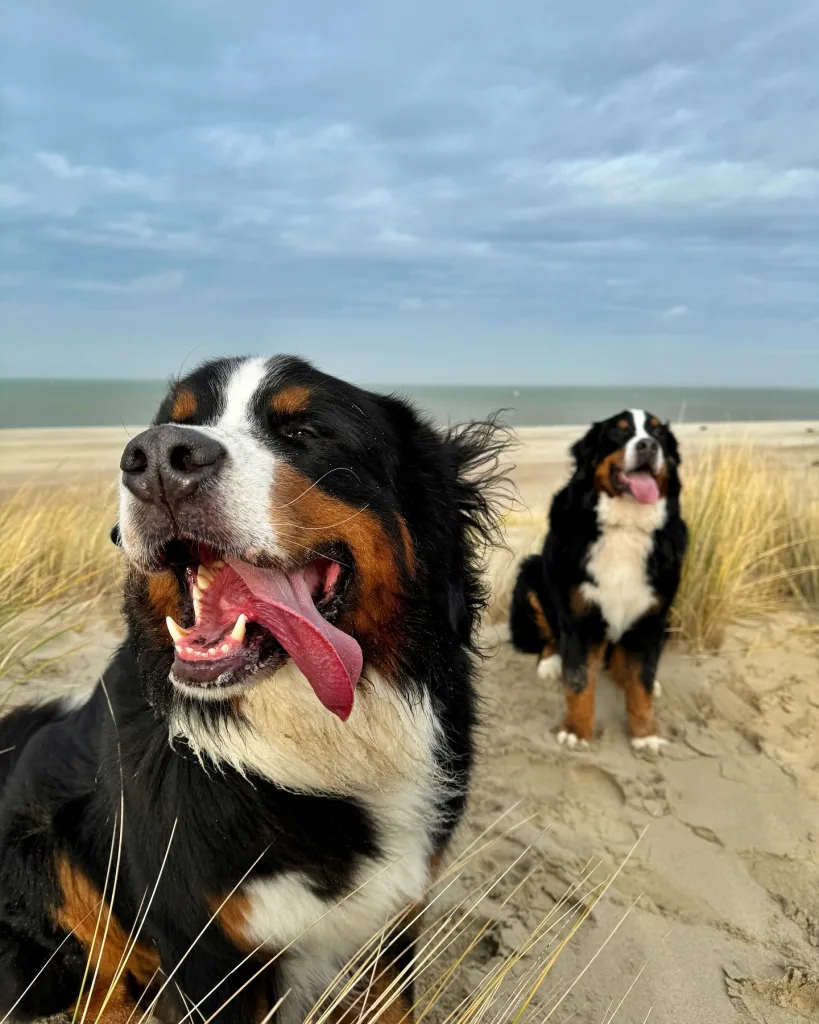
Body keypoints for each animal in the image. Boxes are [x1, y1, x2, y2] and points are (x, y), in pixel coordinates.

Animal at [0, 354, 507, 1024]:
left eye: (303, 432)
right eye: (168, 423)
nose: (156, 457)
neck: (315, 740)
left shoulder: (398, 915)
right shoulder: (207, 953)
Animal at [507, 407, 687, 753]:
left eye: (658, 433)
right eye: (619, 432)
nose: (648, 445)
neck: (626, 526)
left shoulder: (652, 617)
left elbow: (641, 682)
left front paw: (645, 734)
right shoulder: (578, 616)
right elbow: (579, 679)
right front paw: (575, 730)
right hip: (531, 574)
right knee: (551, 638)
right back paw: (550, 664)